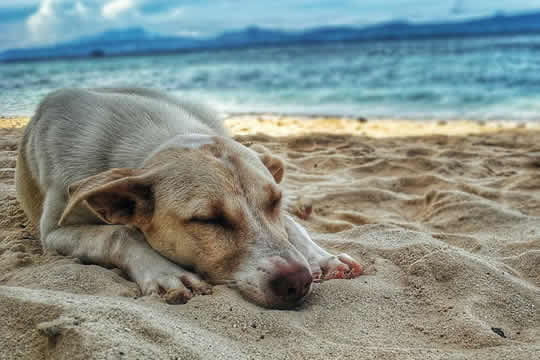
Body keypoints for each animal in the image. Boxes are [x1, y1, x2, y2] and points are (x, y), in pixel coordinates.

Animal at [15, 88, 362, 308]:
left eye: (275, 202)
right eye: (208, 220)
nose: (298, 281)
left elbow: (290, 225)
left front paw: (321, 257)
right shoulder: (54, 232)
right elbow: (119, 232)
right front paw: (165, 272)